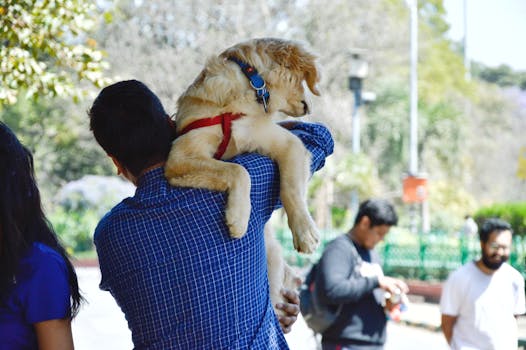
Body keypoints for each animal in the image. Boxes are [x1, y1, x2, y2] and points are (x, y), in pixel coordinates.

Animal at [165, 37, 322, 312]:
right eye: (301, 81)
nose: (308, 107)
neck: (249, 88)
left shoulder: (286, 143)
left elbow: (291, 189)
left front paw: (304, 233)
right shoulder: (181, 156)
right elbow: (239, 170)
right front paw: (238, 218)